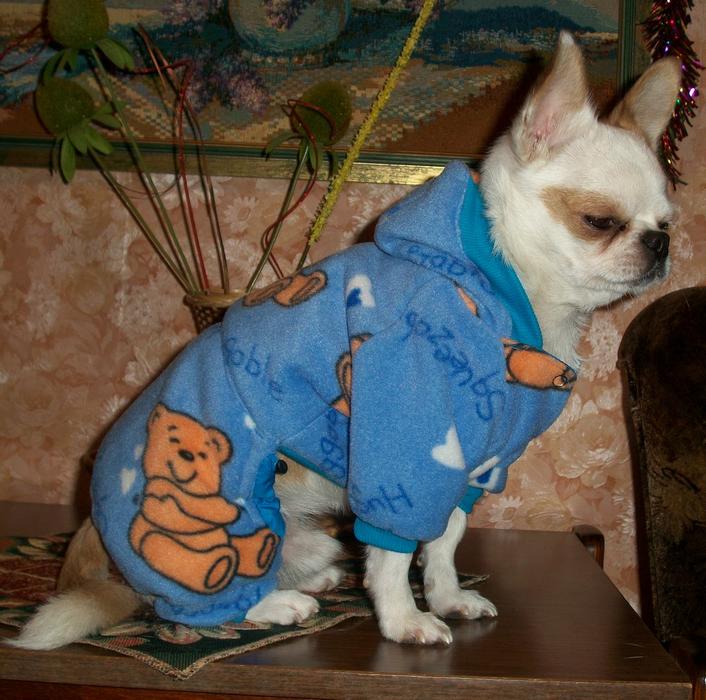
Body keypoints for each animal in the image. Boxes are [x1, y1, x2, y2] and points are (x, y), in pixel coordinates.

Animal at [11, 32, 681, 648]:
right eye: (599, 222)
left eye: (667, 222)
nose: (660, 244)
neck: (503, 289)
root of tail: (91, 542)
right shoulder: (402, 459)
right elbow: (393, 554)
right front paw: (405, 621)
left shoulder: (466, 468)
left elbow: (444, 541)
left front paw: (447, 597)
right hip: (221, 504)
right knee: (197, 596)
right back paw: (272, 606)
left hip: (304, 533)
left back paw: (310, 582)